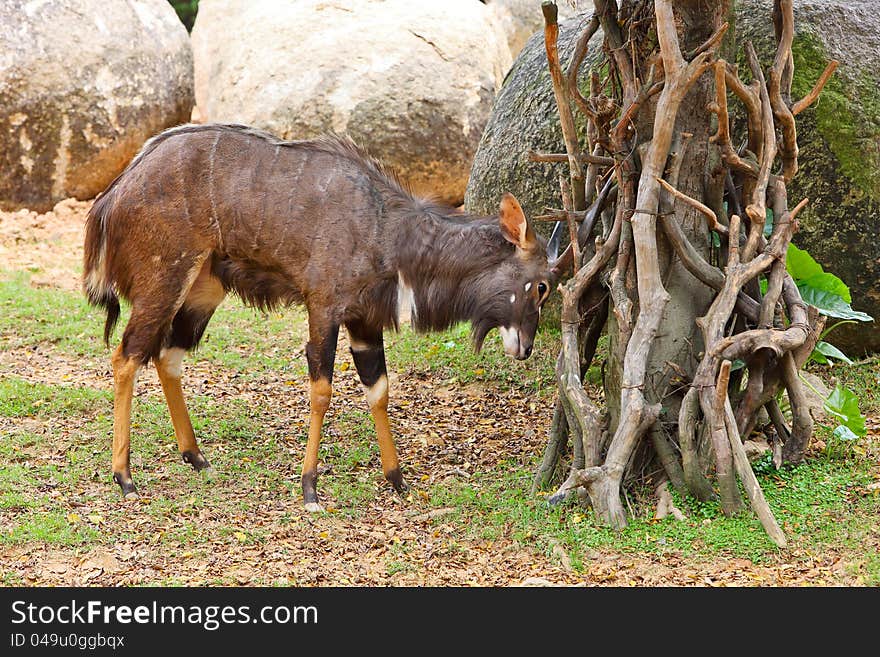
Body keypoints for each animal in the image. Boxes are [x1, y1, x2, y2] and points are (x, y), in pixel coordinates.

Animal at [82, 123, 552, 512]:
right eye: (542, 286)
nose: (526, 347)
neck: (386, 229)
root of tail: (112, 197)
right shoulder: (324, 308)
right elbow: (322, 391)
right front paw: (309, 488)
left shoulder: (365, 322)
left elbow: (379, 390)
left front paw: (397, 479)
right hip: (164, 281)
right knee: (126, 356)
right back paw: (125, 477)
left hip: (204, 289)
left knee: (167, 356)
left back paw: (196, 457)